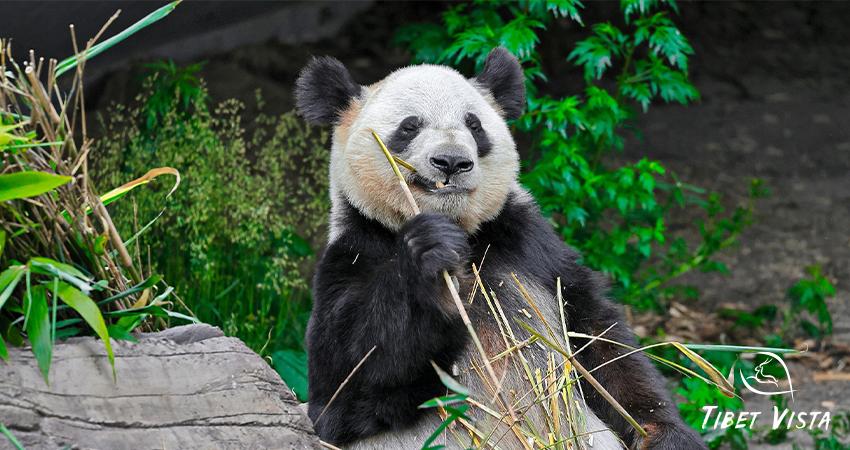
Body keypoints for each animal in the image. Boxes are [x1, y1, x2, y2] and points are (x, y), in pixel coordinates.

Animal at [295, 48, 707, 450]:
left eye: (474, 125)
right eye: (409, 126)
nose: (452, 162)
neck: (464, 234)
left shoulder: (530, 245)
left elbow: (599, 341)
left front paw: (665, 434)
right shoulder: (353, 255)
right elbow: (345, 389)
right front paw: (432, 259)